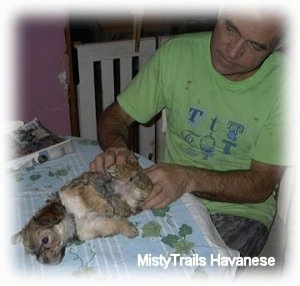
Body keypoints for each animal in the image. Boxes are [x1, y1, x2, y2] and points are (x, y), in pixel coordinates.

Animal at [11, 161, 152, 266]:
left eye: (45, 240)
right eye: (35, 254)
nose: (43, 261)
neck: (73, 216)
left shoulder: (74, 190)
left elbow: (88, 198)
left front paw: (106, 207)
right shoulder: (92, 226)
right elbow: (111, 224)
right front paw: (126, 228)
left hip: (138, 182)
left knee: (137, 170)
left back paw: (118, 170)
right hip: (138, 193)